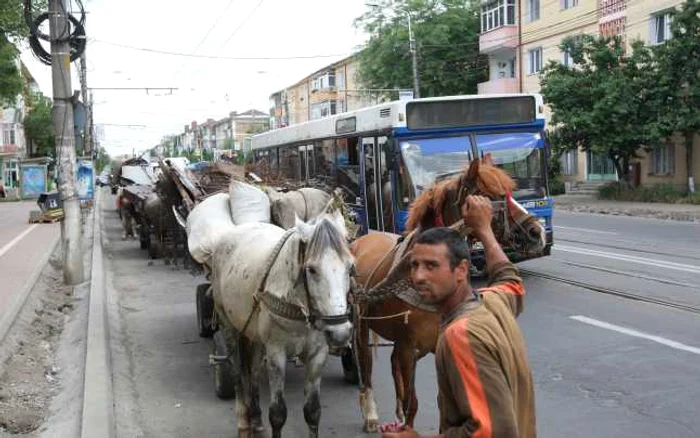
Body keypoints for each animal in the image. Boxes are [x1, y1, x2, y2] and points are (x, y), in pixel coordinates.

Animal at [206, 210, 350, 436]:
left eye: (351, 267)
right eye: (311, 269)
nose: (340, 333)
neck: (299, 306)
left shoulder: (318, 354)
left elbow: (313, 411)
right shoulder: (276, 352)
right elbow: (277, 413)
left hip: (254, 336)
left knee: (254, 372)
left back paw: (255, 417)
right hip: (227, 325)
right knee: (237, 373)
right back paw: (243, 421)